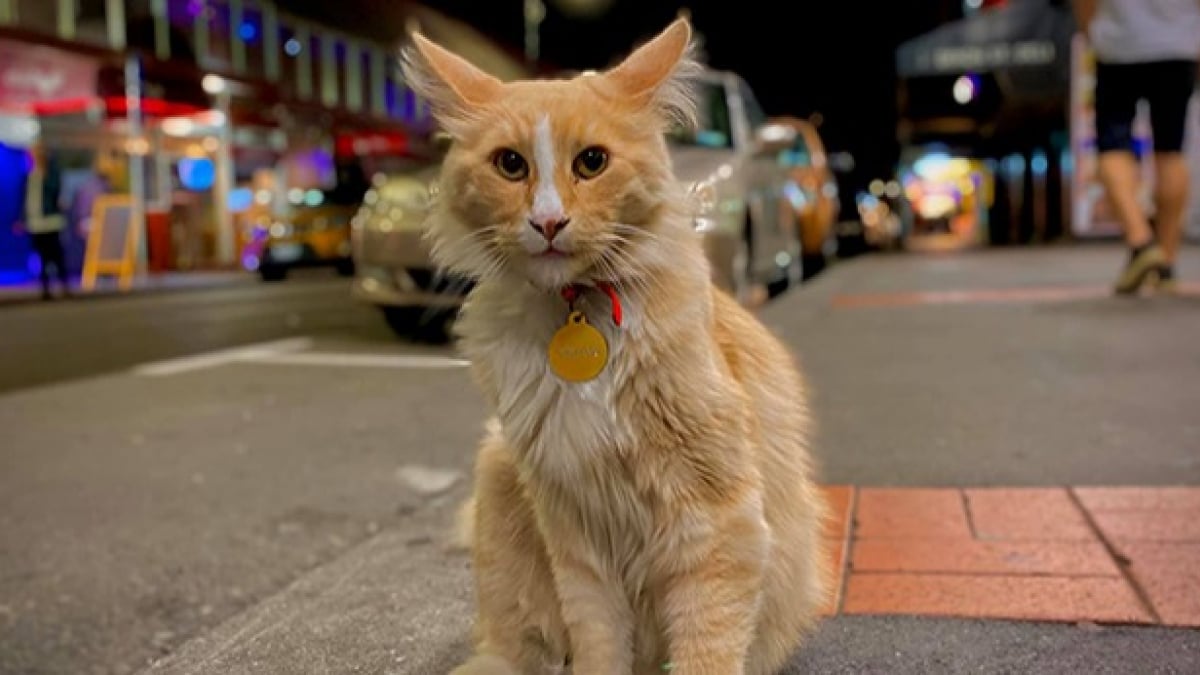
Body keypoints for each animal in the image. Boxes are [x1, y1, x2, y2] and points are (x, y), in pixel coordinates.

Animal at [408, 17, 830, 672]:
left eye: (592, 162)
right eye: (510, 165)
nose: (548, 222)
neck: (576, 312)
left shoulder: (716, 520)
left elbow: (706, 647)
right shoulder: (577, 537)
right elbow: (598, 643)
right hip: (499, 472)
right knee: (512, 643)